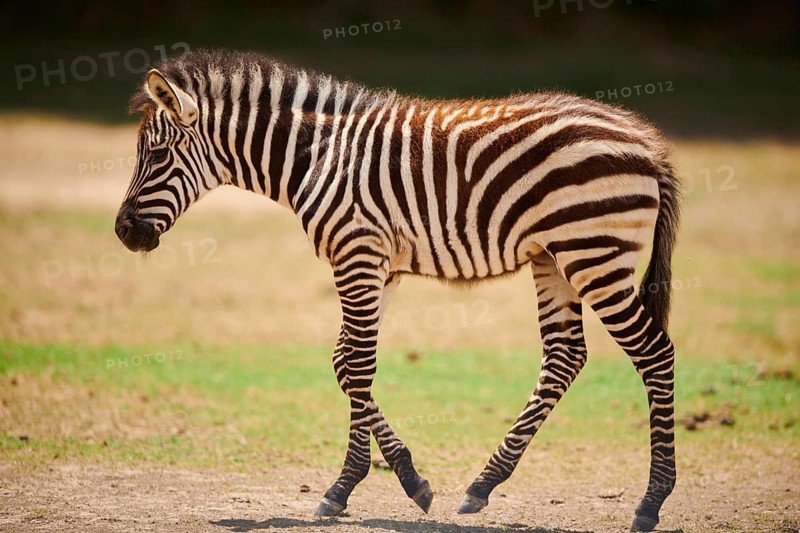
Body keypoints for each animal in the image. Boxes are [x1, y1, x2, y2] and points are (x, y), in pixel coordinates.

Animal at [116, 49, 681, 532]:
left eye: (158, 154)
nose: (123, 232)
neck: (316, 158)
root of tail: (646, 141)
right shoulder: (376, 266)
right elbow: (345, 363)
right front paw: (392, 480)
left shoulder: (357, 254)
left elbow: (358, 365)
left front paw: (357, 486)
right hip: (554, 257)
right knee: (565, 356)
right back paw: (483, 484)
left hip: (594, 253)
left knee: (655, 354)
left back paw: (652, 501)